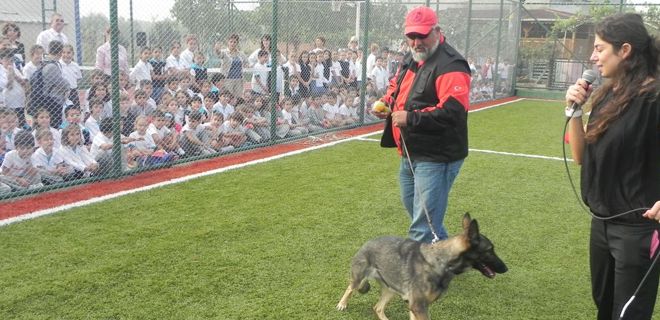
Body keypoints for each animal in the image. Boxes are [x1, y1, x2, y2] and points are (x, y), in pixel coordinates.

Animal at [338, 212, 508, 320]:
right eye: (490, 250)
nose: (506, 269)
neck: (441, 261)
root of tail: (368, 242)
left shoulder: (416, 307)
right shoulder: (418, 307)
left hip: (391, 288)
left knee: (378, 308)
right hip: (359, 278)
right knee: (350, 288)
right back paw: (342, 304)